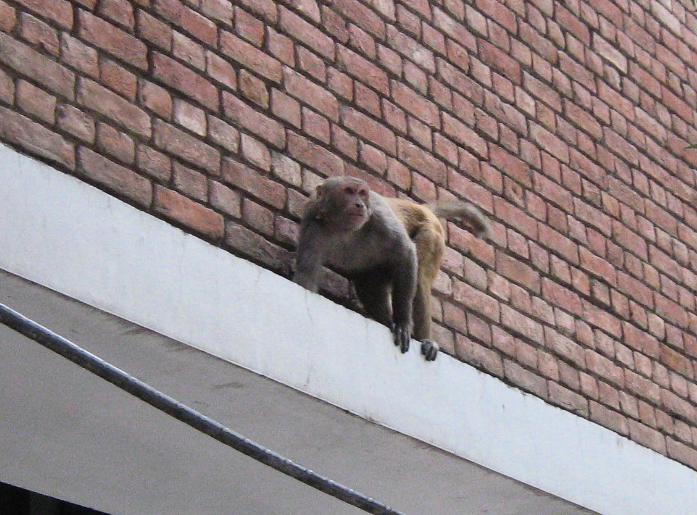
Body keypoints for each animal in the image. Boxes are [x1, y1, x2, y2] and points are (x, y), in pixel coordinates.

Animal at [294, 176, 489, 361]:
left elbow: (406, 254)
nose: (359, 204)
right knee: (369, 288)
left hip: (432, 231)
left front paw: (403, 323)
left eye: (362, 193)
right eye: (348, 191)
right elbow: (306, 275)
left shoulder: (379, 217)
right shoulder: (312, 223)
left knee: (418, 276)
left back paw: (426, 340)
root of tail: (422, 208)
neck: (345, 230)